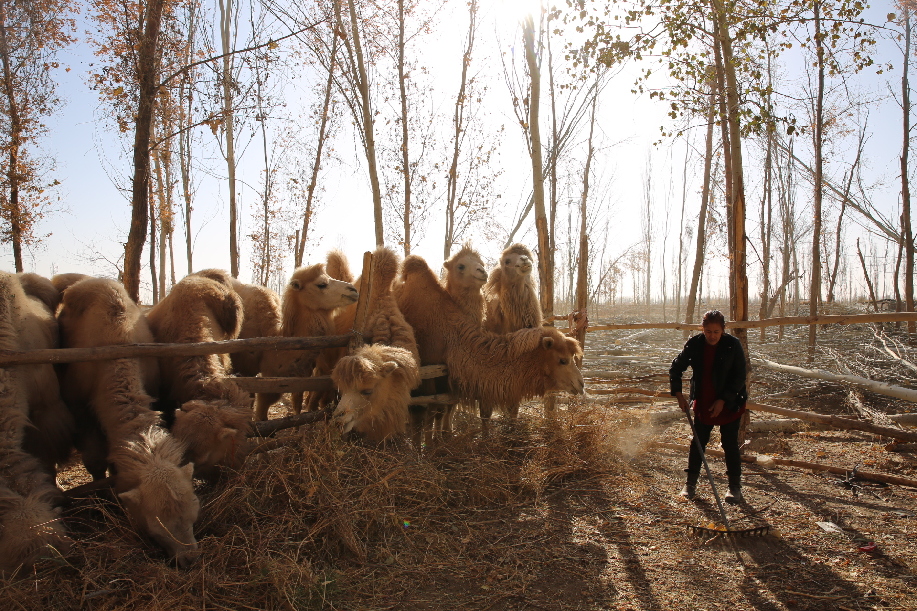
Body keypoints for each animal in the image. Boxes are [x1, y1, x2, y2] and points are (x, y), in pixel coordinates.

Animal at [392, 253, 580, 430]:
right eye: (563, 360)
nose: (580, 383)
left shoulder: (450, 382)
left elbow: (448, 410)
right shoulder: (425, 378)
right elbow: (426, 415)